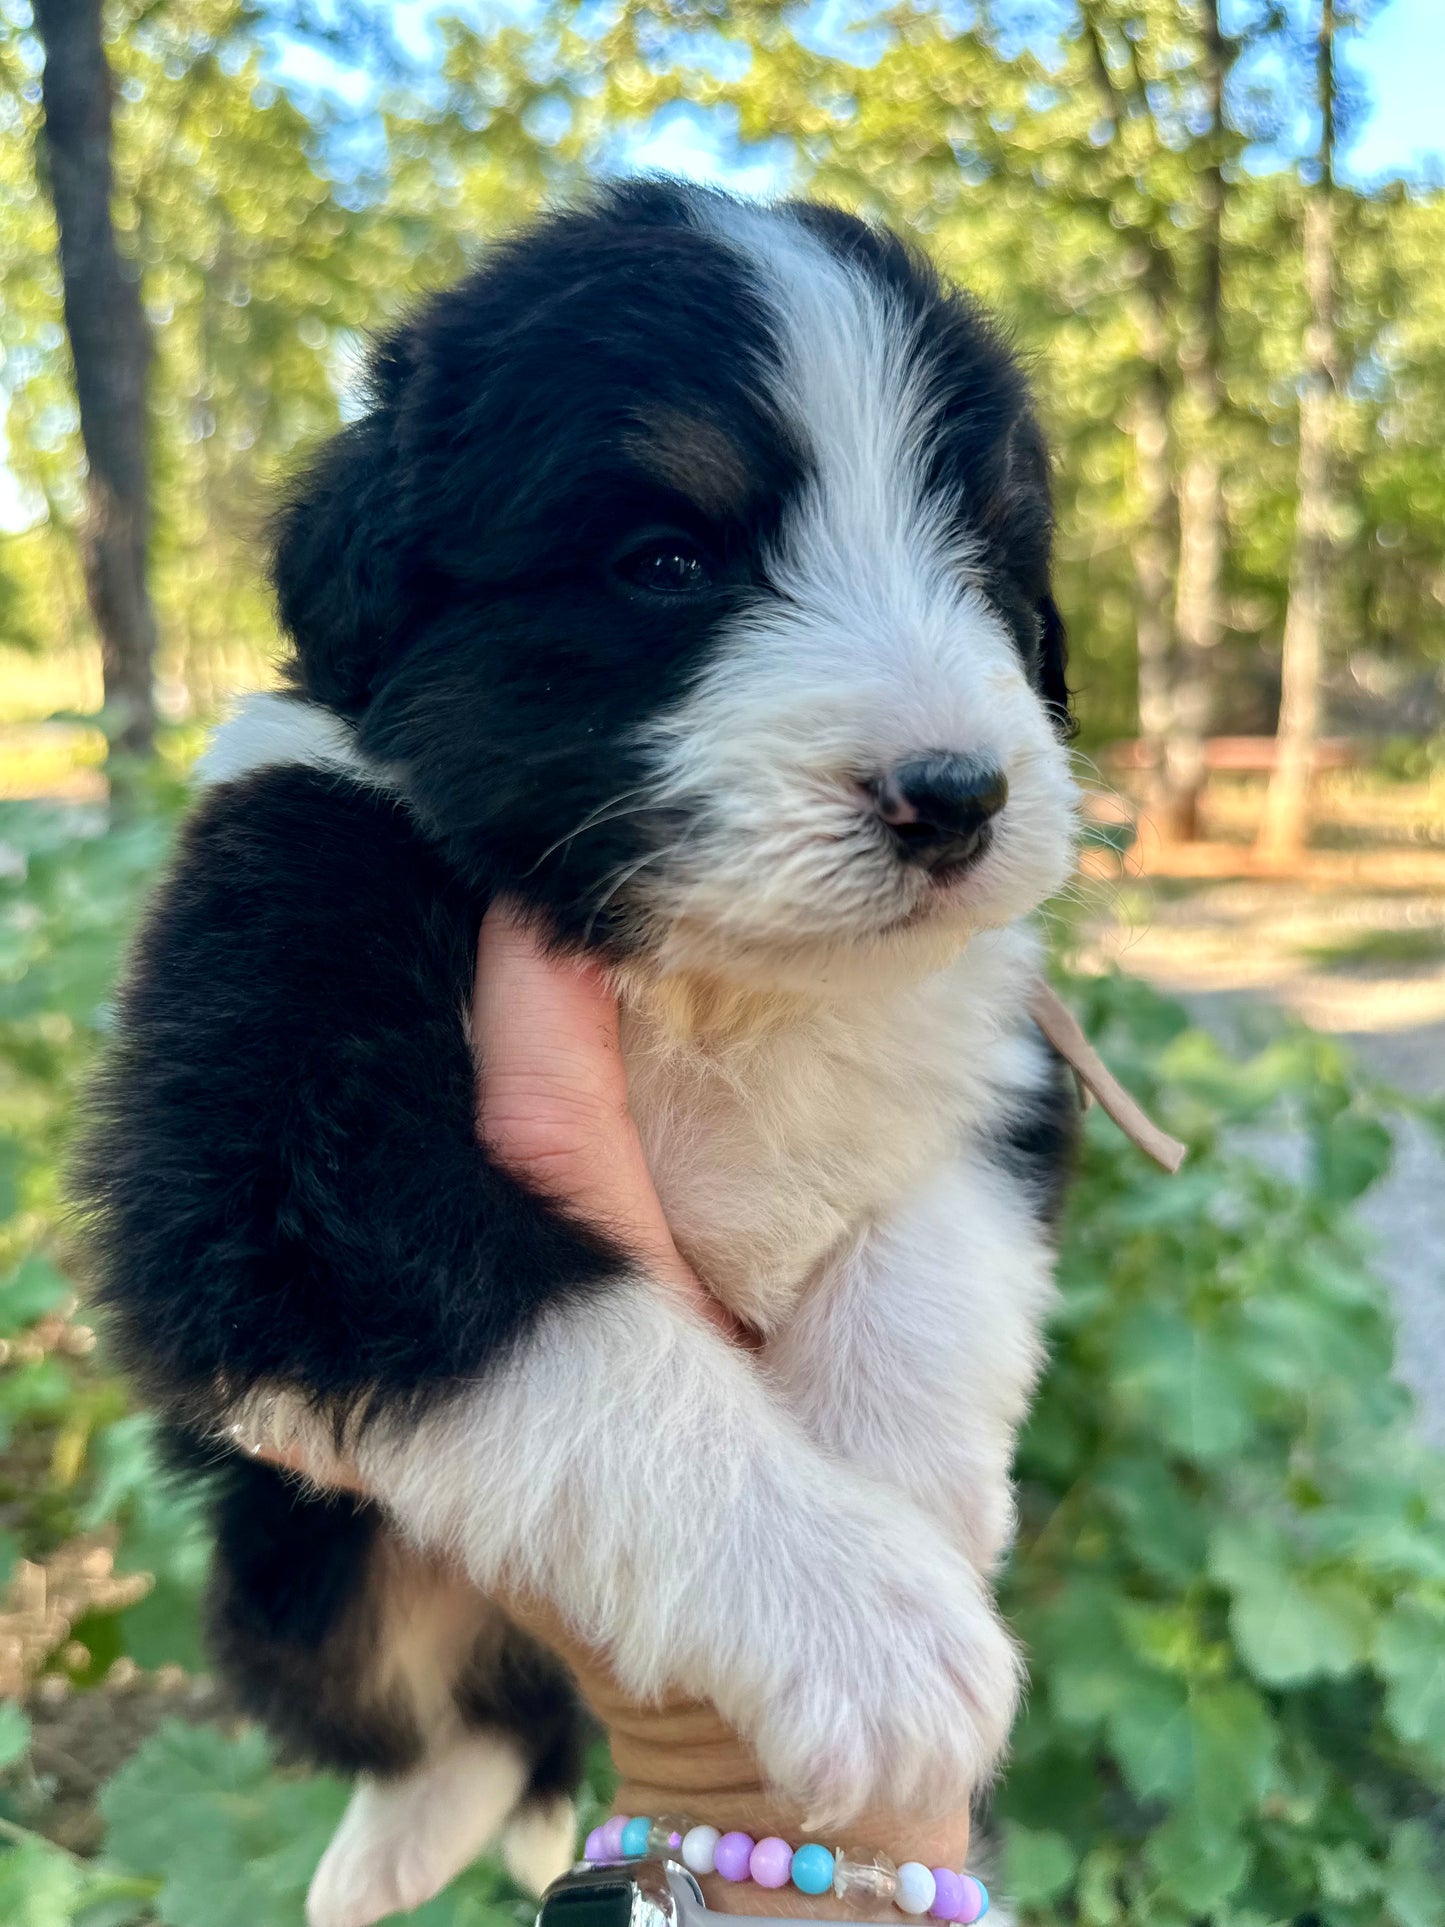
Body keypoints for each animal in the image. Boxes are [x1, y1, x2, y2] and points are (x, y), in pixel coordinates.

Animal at [76, 181, 1078, 1927]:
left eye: (984, 558)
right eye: (664, 560)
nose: (955, 797)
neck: (702, 976)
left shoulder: (1000, 1066)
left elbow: (929, 1256)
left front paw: (917, 1497)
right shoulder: (271, 1129)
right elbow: (583, 1345)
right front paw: (873, 1629)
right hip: (294, 1569)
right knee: (447, 1719)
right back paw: (390, 1848)